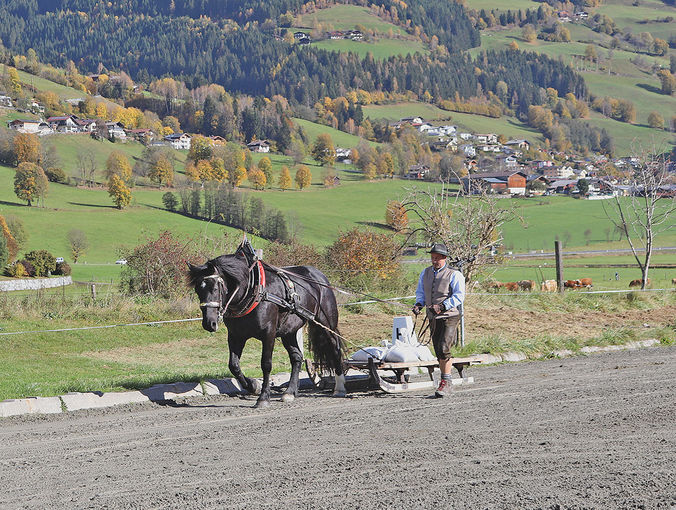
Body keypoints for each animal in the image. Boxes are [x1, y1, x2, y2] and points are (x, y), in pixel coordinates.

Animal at [187, 248, 346, 410]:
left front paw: (263, 397)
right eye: (198, 290)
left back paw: (339, 387)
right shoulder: (236, 336)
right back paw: (290, 392)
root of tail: (319, 275)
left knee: (335, 348)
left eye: (214, 288)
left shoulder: (268, 334)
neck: (253, 291)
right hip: (288, 331)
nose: (209, 323)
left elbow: (266, 364)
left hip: (326, 323)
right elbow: (234, 365)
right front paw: (253, 386)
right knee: (297, 357)